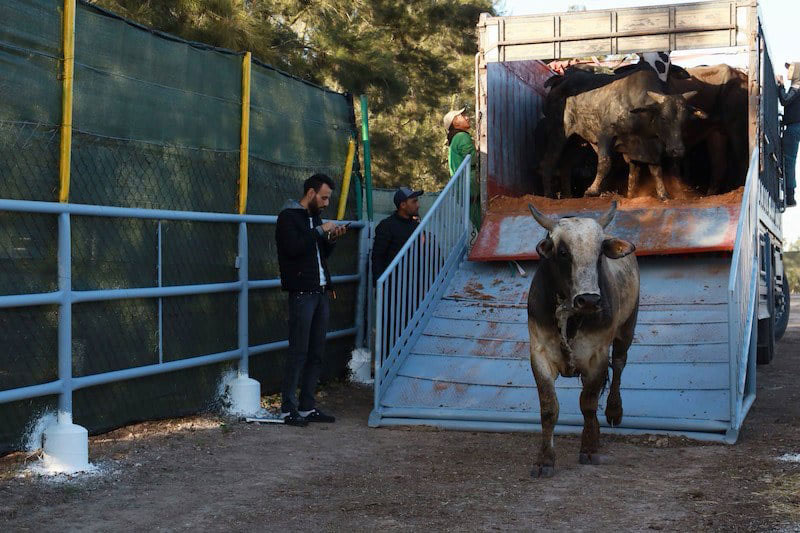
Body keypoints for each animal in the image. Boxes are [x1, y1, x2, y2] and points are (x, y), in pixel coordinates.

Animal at [368, 1, 788, 440]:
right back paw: (559, 192)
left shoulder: (645, 147)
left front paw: (655, 194)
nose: (678, 148)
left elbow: (648, 167)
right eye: (663, 115)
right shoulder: (605, 137)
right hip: (562, 136)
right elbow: (606, 161)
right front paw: (597, 191)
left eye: (682, 118)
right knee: (552, 162)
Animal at [528, 200, 640, 478]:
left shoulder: (596, 356)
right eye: (563, 252)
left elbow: (587, 404)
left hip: (627, 329)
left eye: (599, 253)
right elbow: (549, 409)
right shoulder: (539, 353)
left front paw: (589, 449)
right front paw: (544, 460)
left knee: (619, 366)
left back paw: (613, 411)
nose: (589, 299)